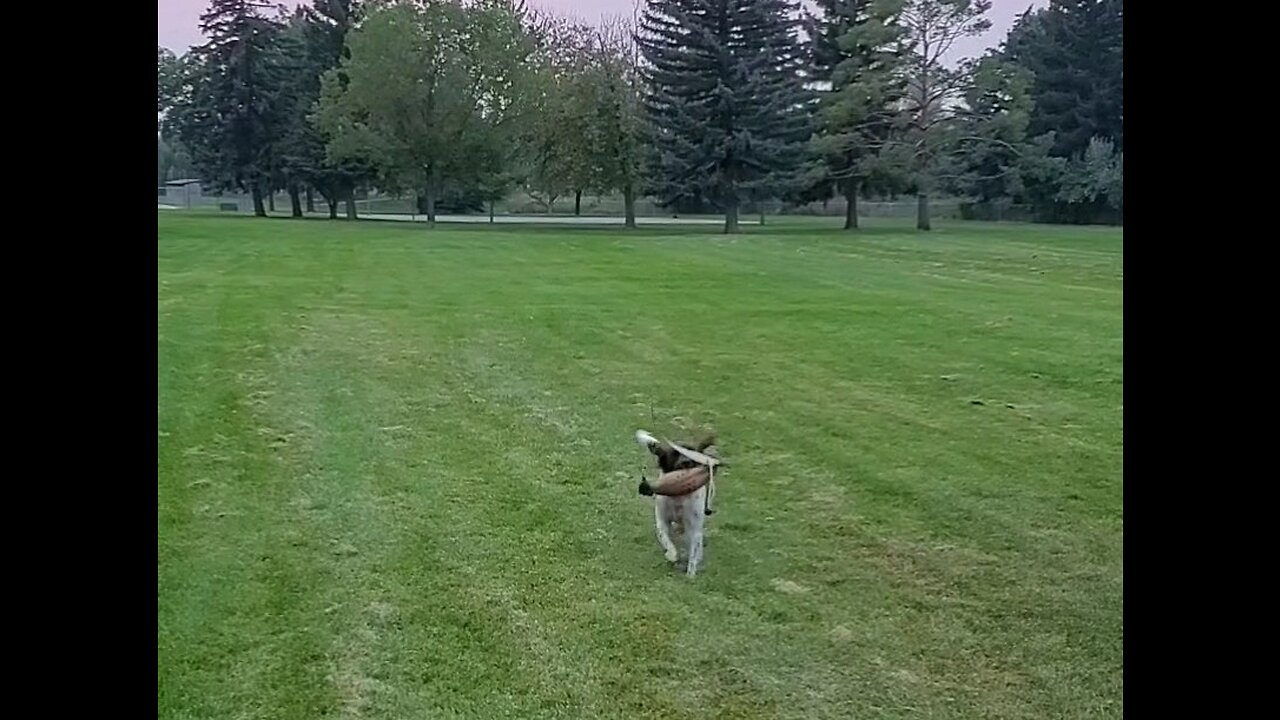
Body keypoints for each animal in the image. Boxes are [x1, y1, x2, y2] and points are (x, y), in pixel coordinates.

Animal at [637, 427, 721, 573]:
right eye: (674, 453)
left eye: (691, 453)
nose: (686, 462)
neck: (678, 494)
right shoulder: (662, 522)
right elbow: (666, 539)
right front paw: (672, 555)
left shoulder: (694, 528)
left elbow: (694, 552)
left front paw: (691, 573)